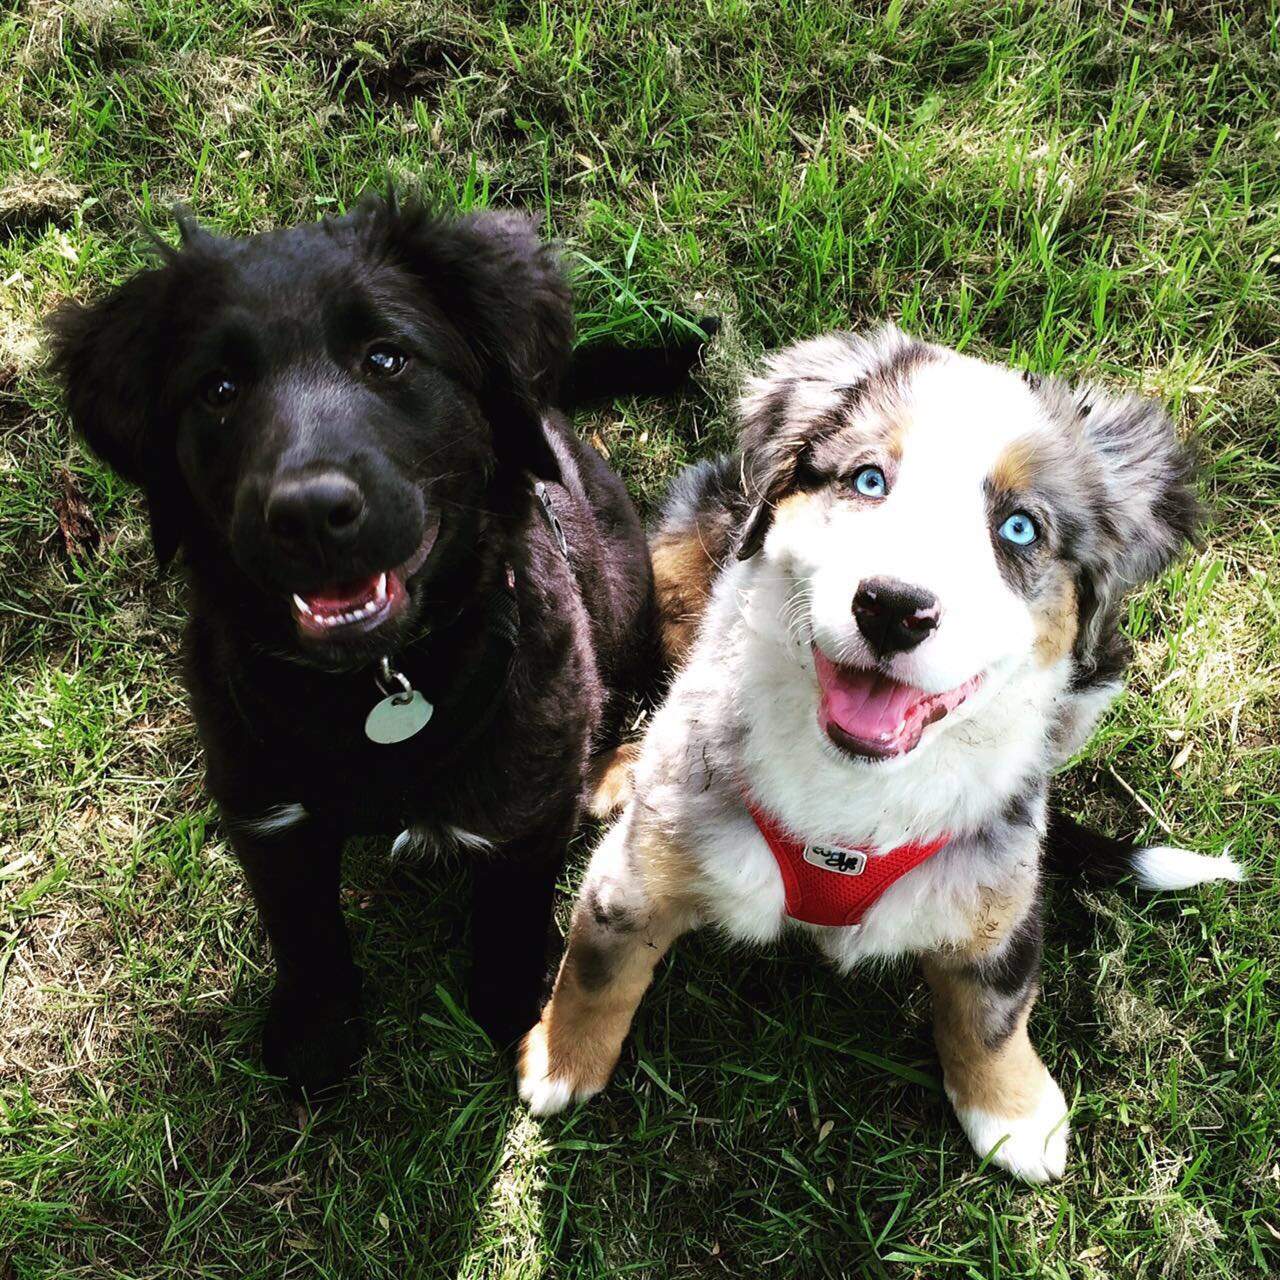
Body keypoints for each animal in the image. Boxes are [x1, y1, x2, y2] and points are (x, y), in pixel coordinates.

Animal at [52, 197, 711, 1090]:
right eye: (219, 390)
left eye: (387, 358)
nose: (308, 513)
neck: (376, 688)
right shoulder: (265, 809)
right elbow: (302, 930)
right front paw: (318, 1034)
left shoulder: (527, 803)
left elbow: (509, 911)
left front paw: (510, 1006)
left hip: (621, 588)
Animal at [517, 327, 1239, 1177]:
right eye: (868, 479)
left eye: (1020, 529)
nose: (893, 607)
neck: (854, 791)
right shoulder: (641, 865)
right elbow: (598, 966)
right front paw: (561, 1061)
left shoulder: (999, 892)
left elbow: (993, 1011)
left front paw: (1016, 1116)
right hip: (681, 544)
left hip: (1098, 680)